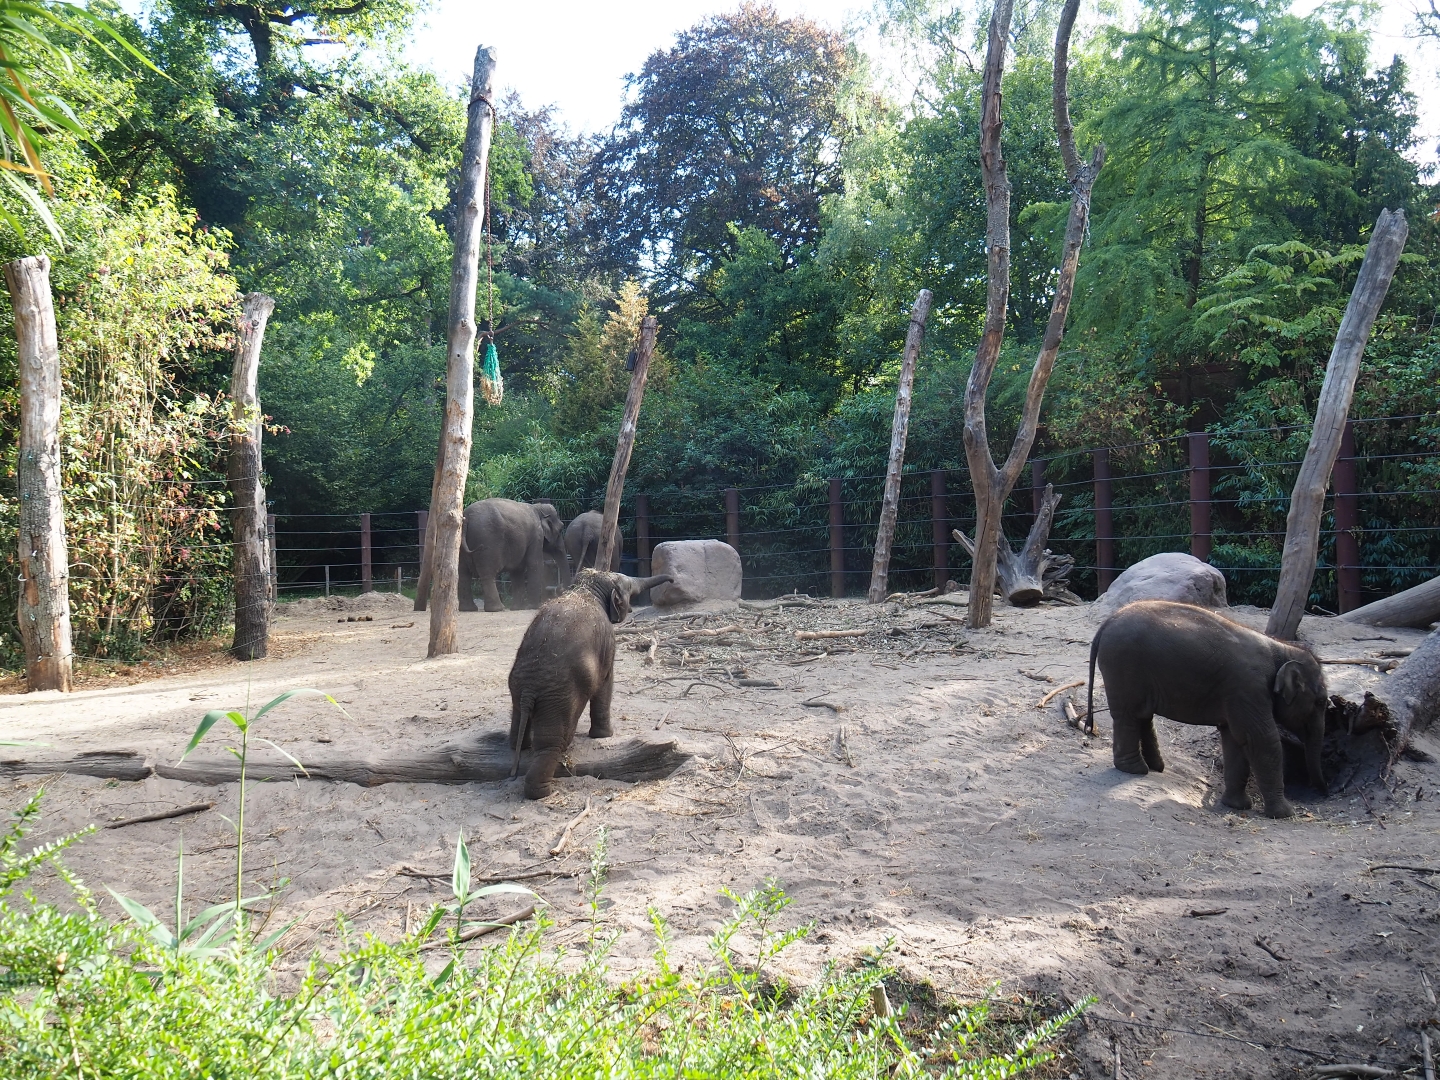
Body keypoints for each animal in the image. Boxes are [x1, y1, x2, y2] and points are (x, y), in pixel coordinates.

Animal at [508, 569, 671, 799]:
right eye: (629, 587)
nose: (672, 579)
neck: (585, 588)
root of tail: (529, 690)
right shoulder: (608, 643)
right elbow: (605, 682)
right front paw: (605, 736)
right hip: (558, 698)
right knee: (551, 743)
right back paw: (543, 793)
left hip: (517, 686)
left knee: (518, 722)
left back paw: (520, 748)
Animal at [1088, 600, 1328, 819]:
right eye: (1320, 702)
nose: (1322, 792)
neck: (1282, 649)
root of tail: (1107, 621)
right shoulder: (1249, 688)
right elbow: (1261, 739)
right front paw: (1285, 814)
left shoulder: (1239, 697)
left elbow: (1234, 740)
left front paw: (1237, 805)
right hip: (1123, 665)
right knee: (1128, 715)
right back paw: (1135, 769)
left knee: (1142, 715)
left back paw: (1156, 767)